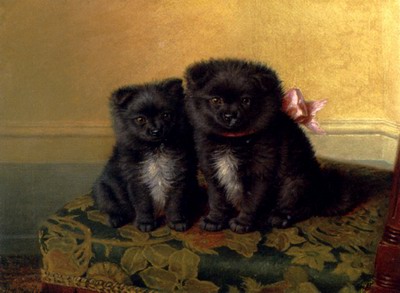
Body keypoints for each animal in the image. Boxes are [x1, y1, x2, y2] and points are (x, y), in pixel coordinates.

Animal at [92, 78, 195, 232]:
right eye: (140, 119)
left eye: (166, 115)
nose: (156, 130)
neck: (155, 150)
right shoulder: (137, 180)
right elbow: (143, 204)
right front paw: (145, 223)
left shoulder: (177, 177)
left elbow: (175, 203)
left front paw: (177, 221)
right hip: (104, 191)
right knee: (112, 207)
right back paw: (116, 219)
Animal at [184, 58, 360, 233]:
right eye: (216, 100)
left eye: (246, 101)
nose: (230, 115)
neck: (232, 139)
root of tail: (323, 194)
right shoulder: (212, 170)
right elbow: (217, 199)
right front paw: (214, 220)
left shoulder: (261, 172)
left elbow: (251, 202)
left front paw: (242, 223)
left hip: (294, 183)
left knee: (300, 207)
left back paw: (279, 217)